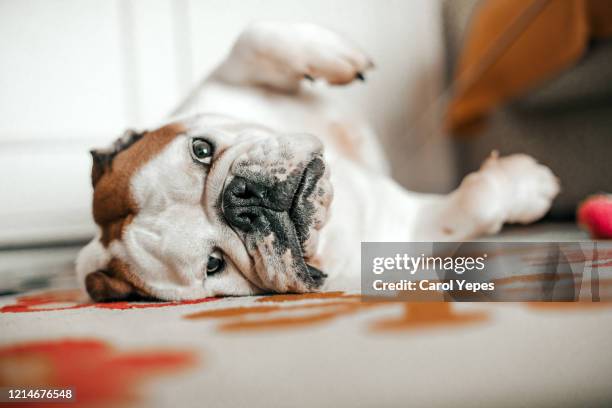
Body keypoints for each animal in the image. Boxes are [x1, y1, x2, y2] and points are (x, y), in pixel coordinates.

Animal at [75, 22, 560, 302]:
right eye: (214, 265)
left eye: (201, 150)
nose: (242, 201)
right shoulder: (402, 234)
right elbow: (473, 205)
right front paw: (527, 185)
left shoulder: (221, 83)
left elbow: (253, 38)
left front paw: (336, 54)